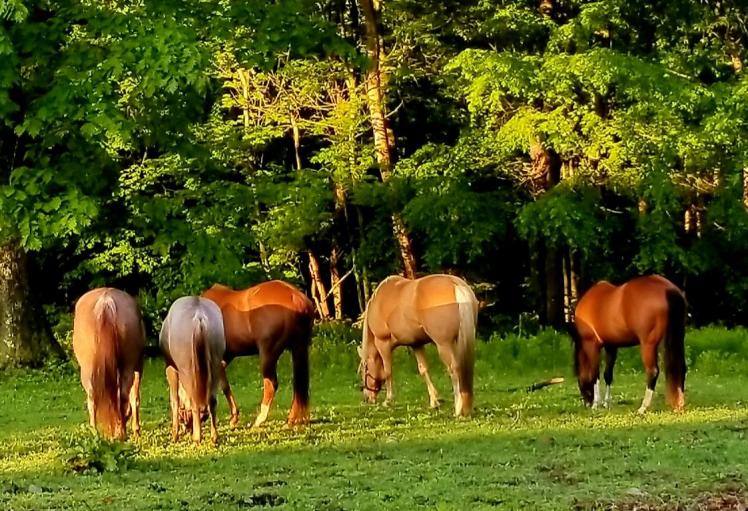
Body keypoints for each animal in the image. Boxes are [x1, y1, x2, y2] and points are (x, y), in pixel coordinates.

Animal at [72, 288, 145, 440]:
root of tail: (106, 300)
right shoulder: (137, 367)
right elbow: (135, 397)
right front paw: (135, 430)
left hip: (88, 370)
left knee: (92, 397)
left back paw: (95, 433)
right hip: (128, 366)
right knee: (123, 396)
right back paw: (121, 432)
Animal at [160, 296, 226, 445]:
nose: (187, 427)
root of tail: (199, 316)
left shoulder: (171, 368)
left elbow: (175, 400)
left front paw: (175, 434)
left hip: (188, 370)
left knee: (195, 401)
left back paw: (197, 437)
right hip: (215, 365)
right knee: (212, 401)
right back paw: (214, 437)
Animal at [201, 280, 314, 427]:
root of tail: (296, 299)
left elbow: (223, 386)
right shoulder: (224, 359)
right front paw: (234, 417)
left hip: (268, 354)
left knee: (271, 384)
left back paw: (260, 419)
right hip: (298, 349)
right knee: (298, 387)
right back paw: (291, 419)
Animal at [358, 274, 479, 417]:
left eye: (365, 370)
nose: (367, 398)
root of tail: (456, 285)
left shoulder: (383, 344)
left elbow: (388, 371)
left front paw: (388, 400)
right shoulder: (416, 344)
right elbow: (423, 370)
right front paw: (434, 401)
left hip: (444, 345)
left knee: (454, 369)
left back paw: (458, 408)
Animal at [570, 274, 687, 414]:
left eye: (578, 380)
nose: (587, 403)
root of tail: (668, 289)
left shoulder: (592, 344)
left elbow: (595, 374)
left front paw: (596, 404)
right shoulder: (611, 346)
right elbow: (607, 374)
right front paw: (606, 403)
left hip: (648, 344)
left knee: (652, 371)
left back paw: (643, 407)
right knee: (681, 368)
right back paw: (679, 403)